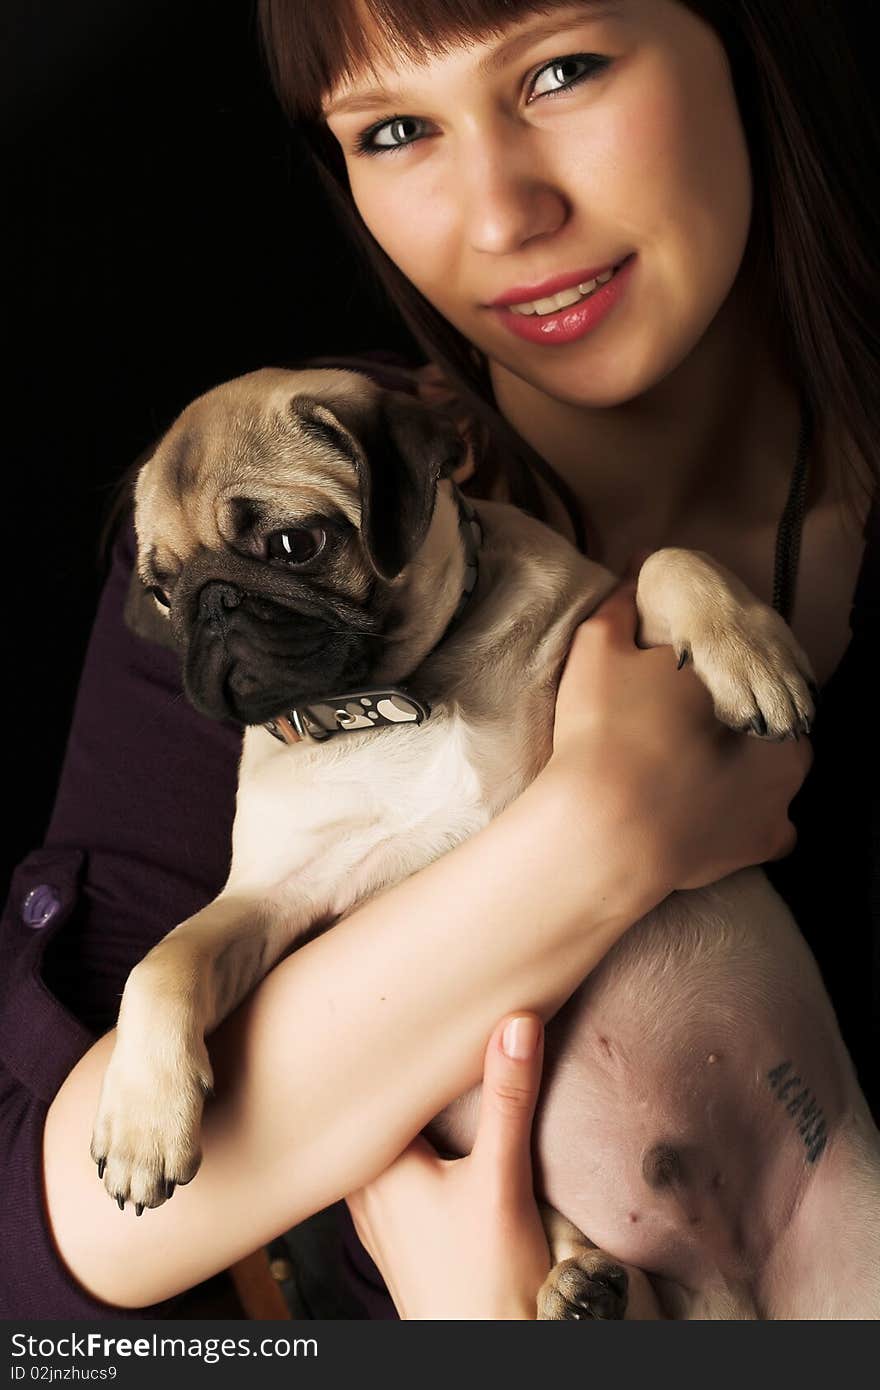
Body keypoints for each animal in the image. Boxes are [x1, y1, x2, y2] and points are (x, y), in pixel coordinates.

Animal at [88, 366, 878, 1312]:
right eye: (162, 592)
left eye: (292, 544)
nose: (211, 606)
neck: (400, 697)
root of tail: (737, 1275)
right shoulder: (269, 901)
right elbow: (165, 958)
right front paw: (140, 1122)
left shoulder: (601, 616)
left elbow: (663, 558)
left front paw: (749, 651)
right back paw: (583, 1288)